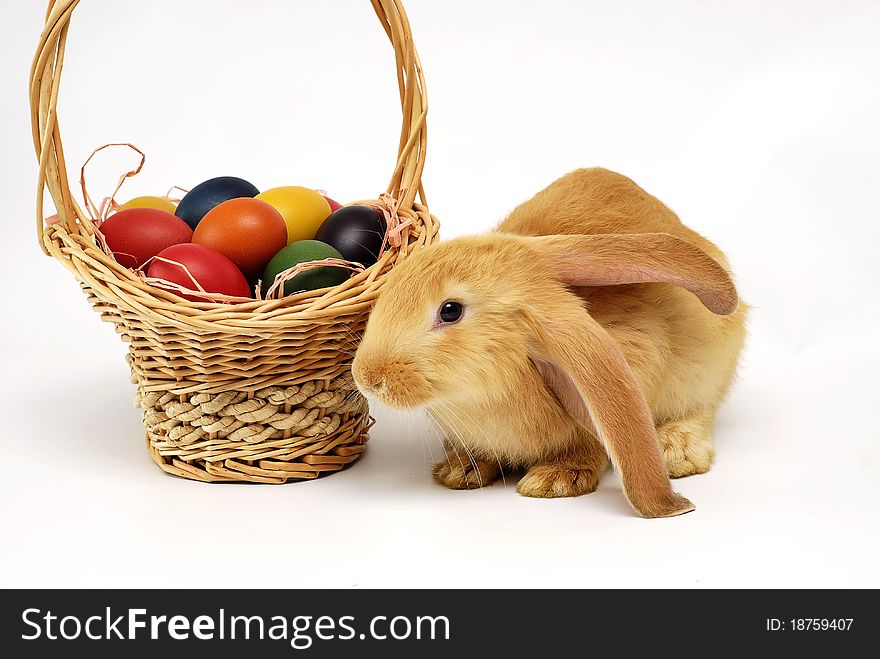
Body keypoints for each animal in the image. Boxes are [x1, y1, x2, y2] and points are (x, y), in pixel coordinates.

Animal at [352, 168, 748, 520]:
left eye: (450, 311)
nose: (367, 377)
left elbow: (591, 443)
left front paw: (554, 481)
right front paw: (460, 469)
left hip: (706, 371)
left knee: (701, 409)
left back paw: (676, 452)